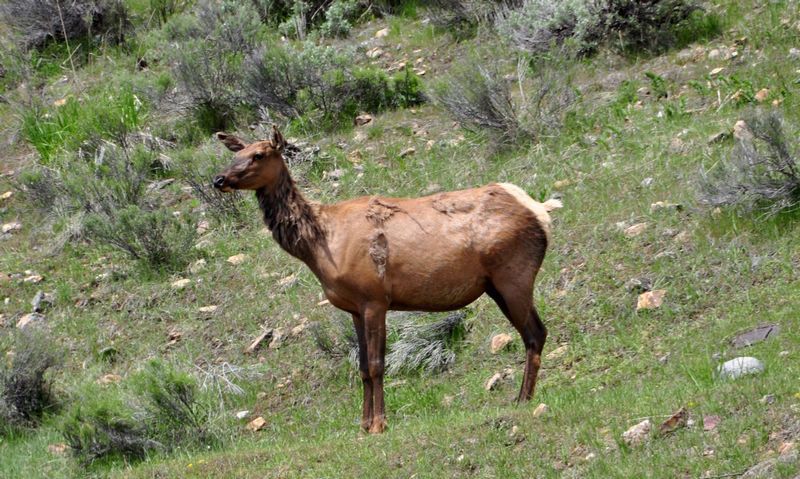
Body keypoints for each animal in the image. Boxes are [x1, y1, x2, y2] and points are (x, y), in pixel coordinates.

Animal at [212, 125, 564, 434]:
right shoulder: (354, 307)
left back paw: (523, 398)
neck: (319, 245)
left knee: (536, 333)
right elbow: (362, 367)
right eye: (236, 153)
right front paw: (363, 424)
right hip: (496, 286)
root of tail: (541, 211)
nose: (219, 179)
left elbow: (378, 364)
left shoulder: (374, 298)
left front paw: (379, 424)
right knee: (534, 333)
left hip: (514, 276)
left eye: (258, 155)